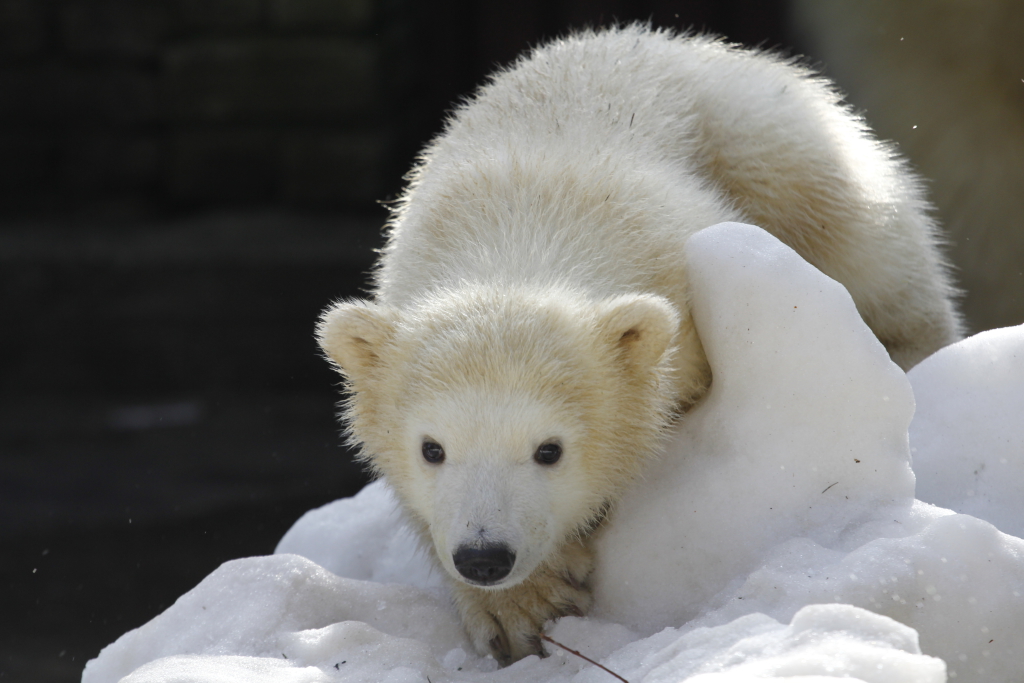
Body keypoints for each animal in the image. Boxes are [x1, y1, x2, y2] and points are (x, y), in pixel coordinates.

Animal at [315, 25, 962, 663]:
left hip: (786, 155)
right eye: (432, 448)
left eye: (550, 449)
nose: (484, 556)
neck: (521, 227)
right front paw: (521, 609)